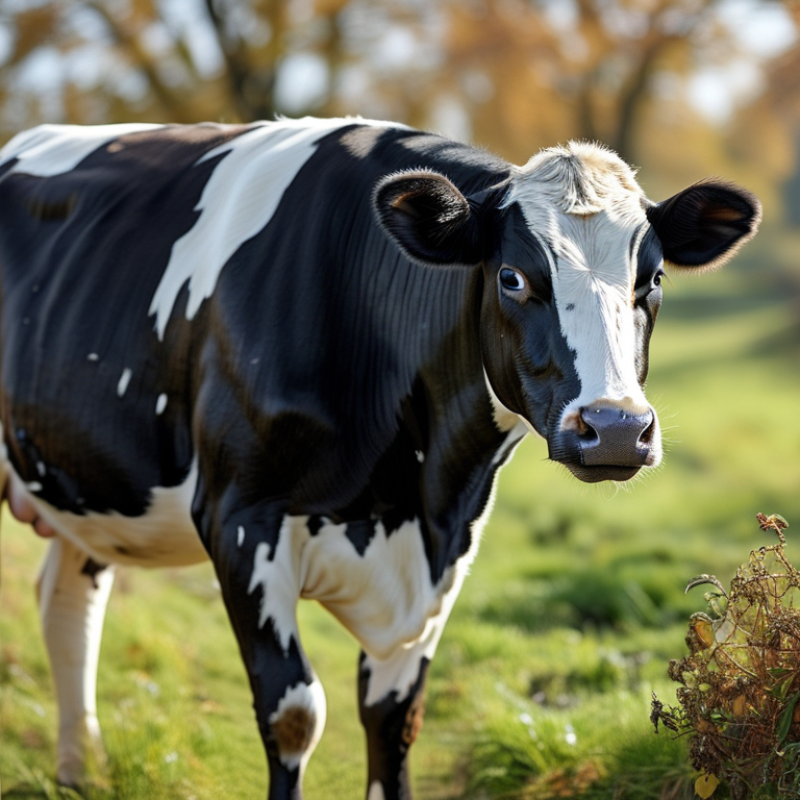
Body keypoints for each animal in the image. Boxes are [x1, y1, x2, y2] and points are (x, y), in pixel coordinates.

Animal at [0, 117, 760, 799]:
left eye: (652, 278)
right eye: (512, 277)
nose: (615, 427)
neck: (410, 493)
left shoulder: (445, 548)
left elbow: (394, 723)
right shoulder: (238, 518)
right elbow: (294, 714)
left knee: (66, 605)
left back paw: (79, 772)